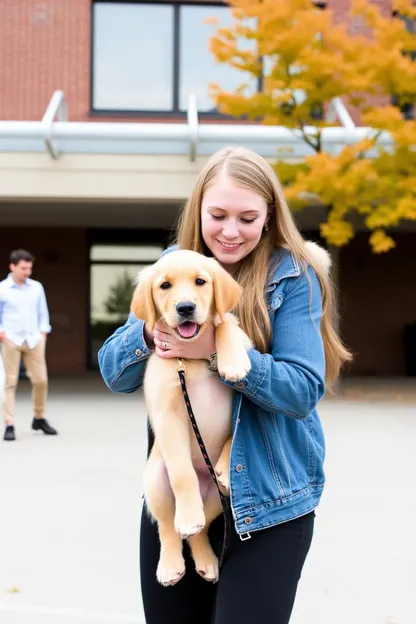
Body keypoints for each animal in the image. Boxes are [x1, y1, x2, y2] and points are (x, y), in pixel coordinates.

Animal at [132, 247, 252, 584]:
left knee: (201, 532)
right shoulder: (168, 412)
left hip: (215, 499)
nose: (185, 308)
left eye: (200, 281)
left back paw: (207, 562)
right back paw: (172, 562)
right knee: (168, 528)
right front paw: (186, 517)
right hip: (156, 482)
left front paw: (232, 361)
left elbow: (225, 323)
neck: (190, 358)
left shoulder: (240, 396)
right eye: (164, 286)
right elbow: (182, 473)